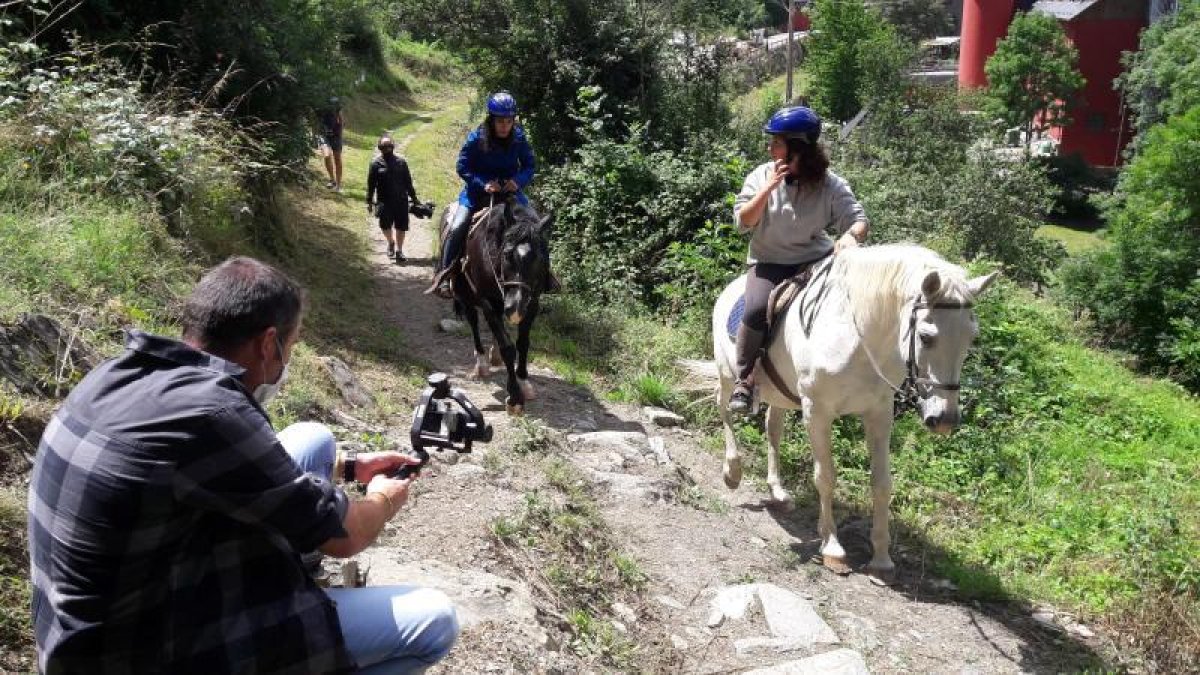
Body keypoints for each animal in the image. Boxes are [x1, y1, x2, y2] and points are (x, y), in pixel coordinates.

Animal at [441, 196, 552, 413]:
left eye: (541, 258)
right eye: (507, 254)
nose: (516, 306)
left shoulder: (532, 304)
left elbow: (523, 343)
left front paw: (524, 383)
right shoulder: (487, 303)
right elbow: (508, 347)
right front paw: (515, 397)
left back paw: (494, 356)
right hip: (467, 297)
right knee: (474, 323)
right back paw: (482, 364)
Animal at [710, 241, 993, 578]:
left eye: (972, 338)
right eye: (926, 337)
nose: (945, 419)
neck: (857, 338)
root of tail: (730, 290)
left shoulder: (879, 415)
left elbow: (882, 484)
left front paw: (882, 558)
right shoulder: (817, 413)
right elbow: (826, 477)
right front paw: (832, 548)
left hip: (781, 395)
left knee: (773, 428)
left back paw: (778, 492)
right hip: (728, 374)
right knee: (724, 408)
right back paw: (732, 471)